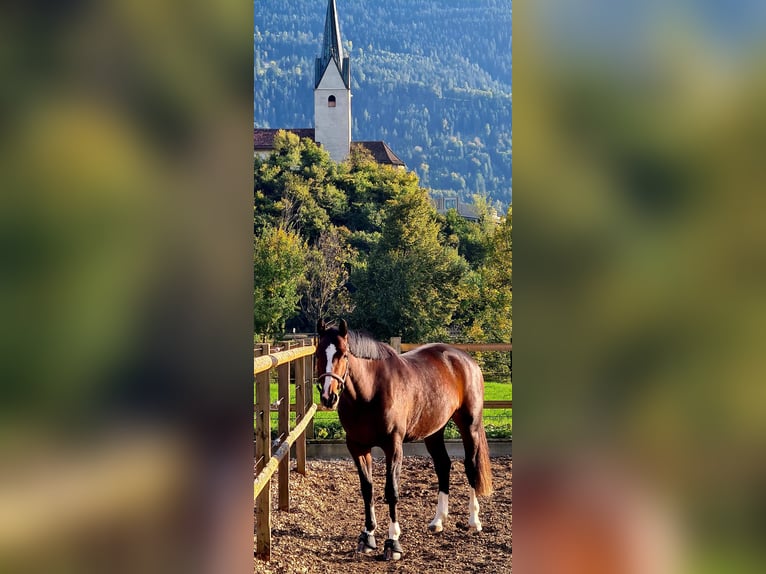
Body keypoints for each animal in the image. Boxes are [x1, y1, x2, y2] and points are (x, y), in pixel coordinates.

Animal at [314, 318, 493, 561]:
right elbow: (367, 489)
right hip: (434, 431)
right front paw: (367, 536)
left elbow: (392, 491)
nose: (328, 397)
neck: (370, 391)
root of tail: (465, 359)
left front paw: (393, 542)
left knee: (471, 466)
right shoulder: (357, 447)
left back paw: (474, 521)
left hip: (470, 426)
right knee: (443, 465)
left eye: (343, 354)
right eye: (317, 354)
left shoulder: (393, 446)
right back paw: (438, 521)